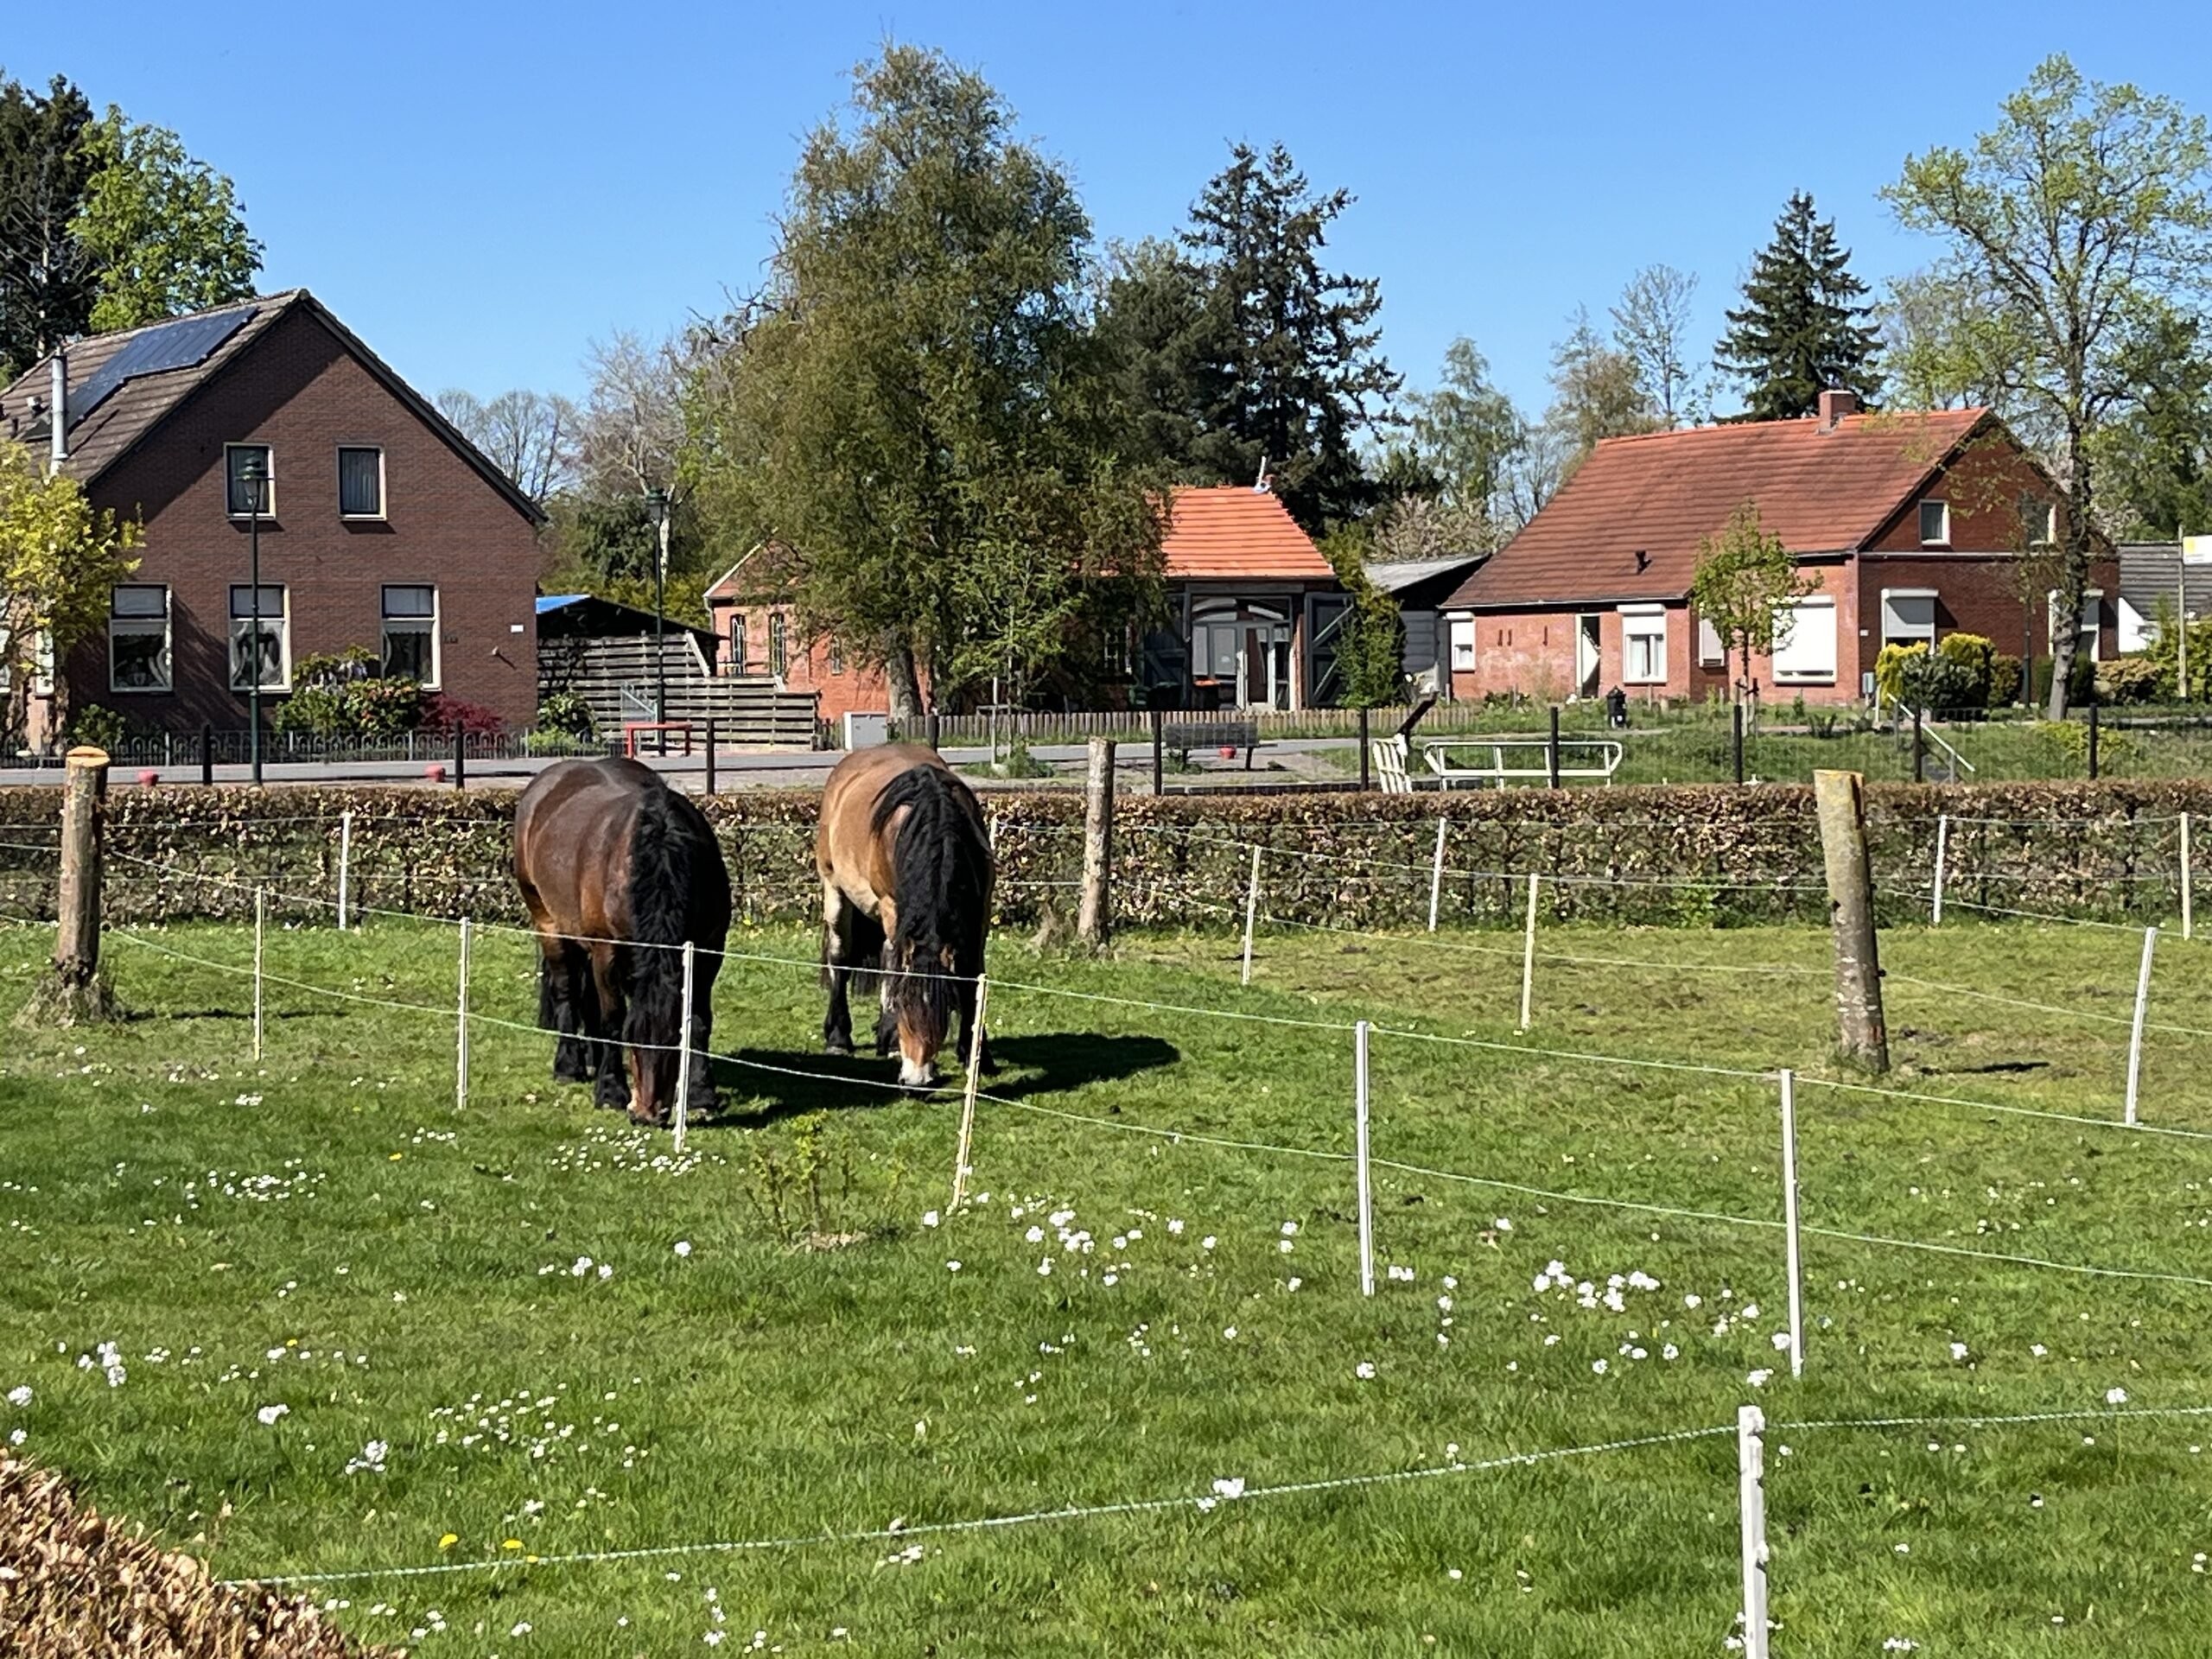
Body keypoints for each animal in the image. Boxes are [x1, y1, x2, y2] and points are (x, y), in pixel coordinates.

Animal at [513, 757, 731, 1125]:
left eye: (674, 1039)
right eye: (633, 1037)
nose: (647, 1114)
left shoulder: (710, 947)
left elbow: (700, 1019)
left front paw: (702, 1094)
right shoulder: (607, 950)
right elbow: (612, 1018)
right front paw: (611, 1090)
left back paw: (592, 1058)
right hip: (549, 924)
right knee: (567, 993)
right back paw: (569, 1065)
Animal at [816, 743, 995, 1090]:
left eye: (943, 1008)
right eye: (904, 1007)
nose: (916, 1080)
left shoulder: (979, 915)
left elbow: (972, 976)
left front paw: (976, 1054)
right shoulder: (891, 907)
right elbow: (894, 971)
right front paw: (890, 1036)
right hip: (836, 892)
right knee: (840, 958)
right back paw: (839, 1036)